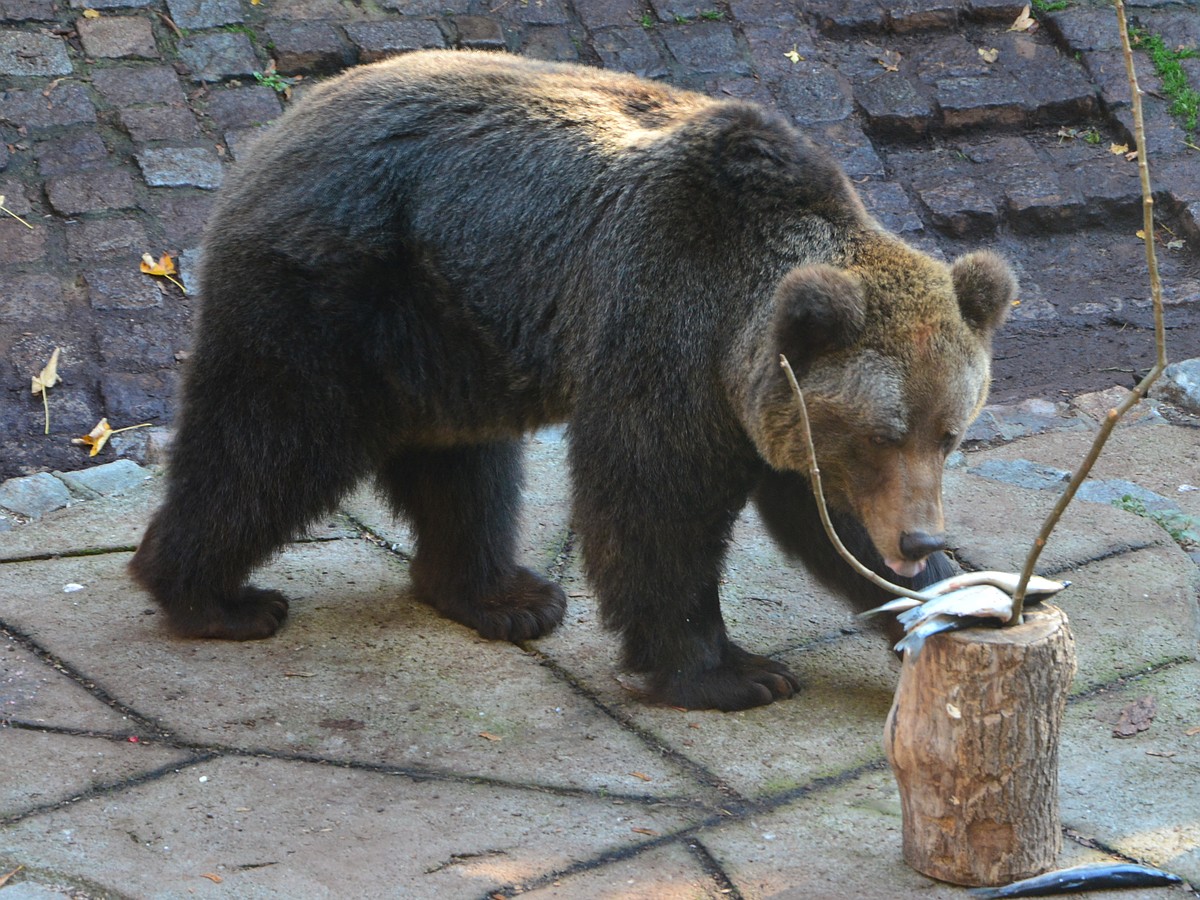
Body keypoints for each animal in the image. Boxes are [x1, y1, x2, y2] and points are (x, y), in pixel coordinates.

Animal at [131, 49, 1012, 710]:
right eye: (883, 433)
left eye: (950, 433)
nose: (922, 539)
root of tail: (275, 127)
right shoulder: (667, 324)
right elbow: (655, 502)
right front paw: (733, 672)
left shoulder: (773, 408)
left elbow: (831, 524)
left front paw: (964, 599)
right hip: (334, 291)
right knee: (271, 442)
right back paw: (214, 597)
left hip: (451, 330)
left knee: (464, 468)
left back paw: (502, 594)